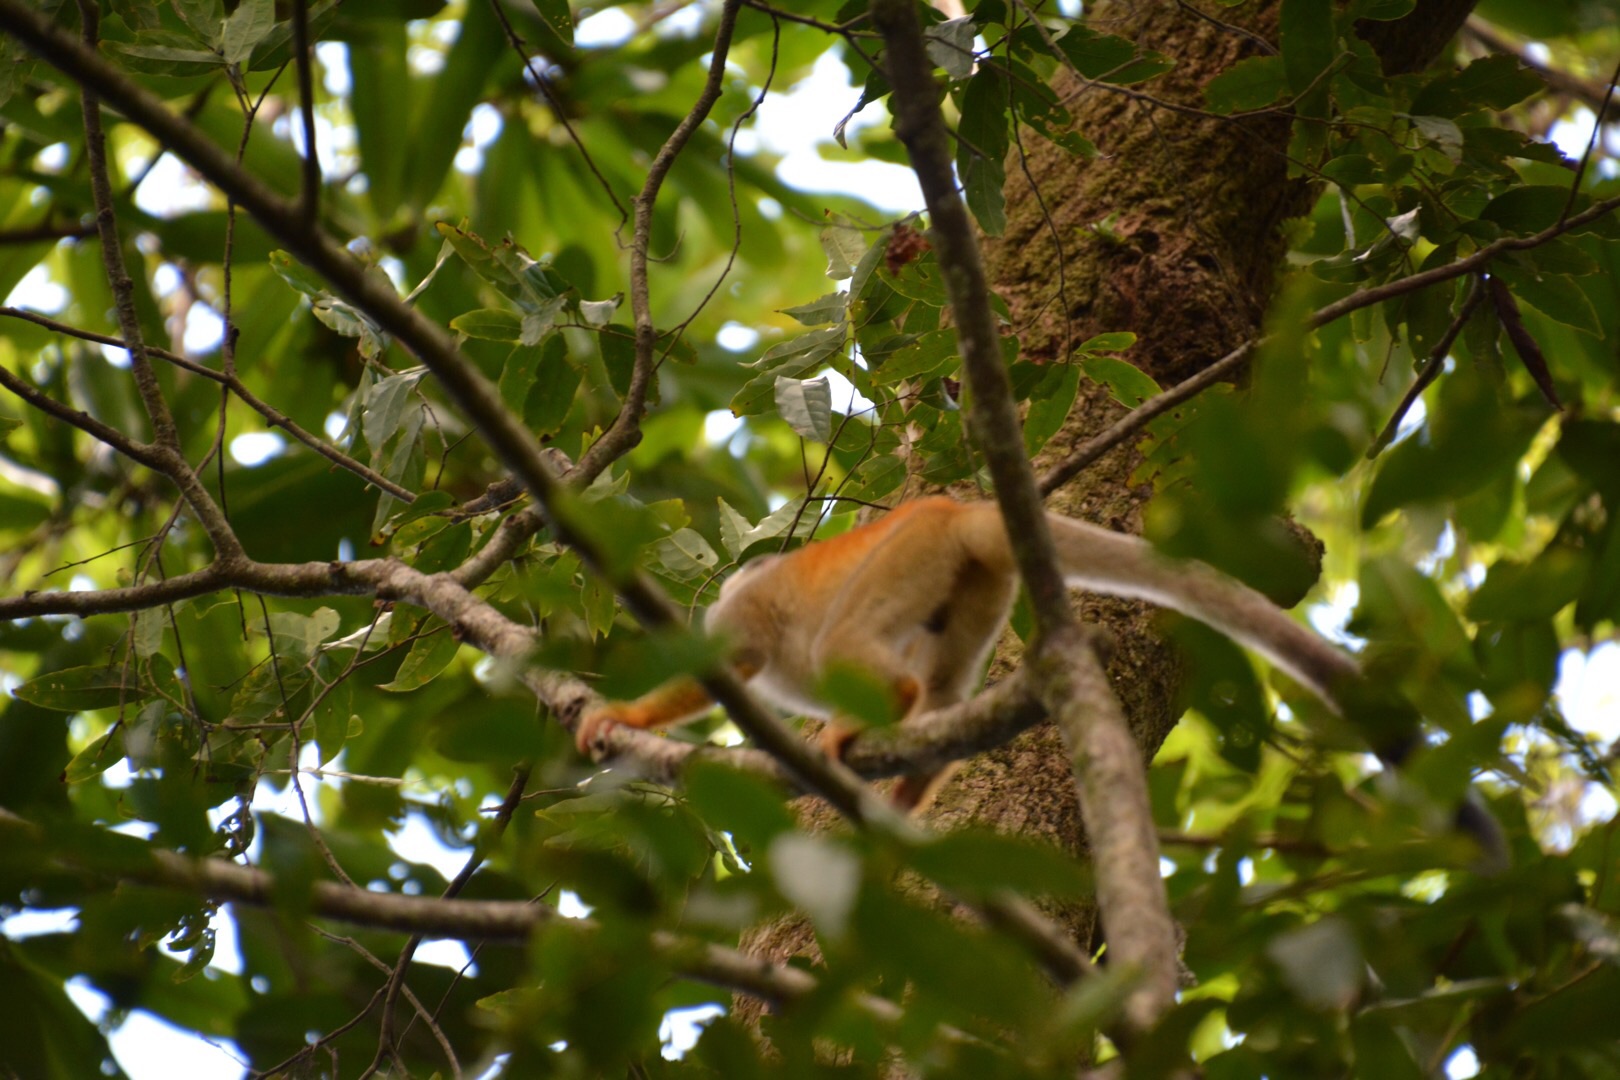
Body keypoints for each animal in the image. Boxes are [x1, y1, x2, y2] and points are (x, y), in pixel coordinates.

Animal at [573, 495, 1367, 806]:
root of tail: (959, 509)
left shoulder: (744, 613)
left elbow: (723, 669)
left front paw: (621, 718)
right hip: (978, 581)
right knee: (946, 683)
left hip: (907, 555)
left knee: (842, 641)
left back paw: (876, 718)